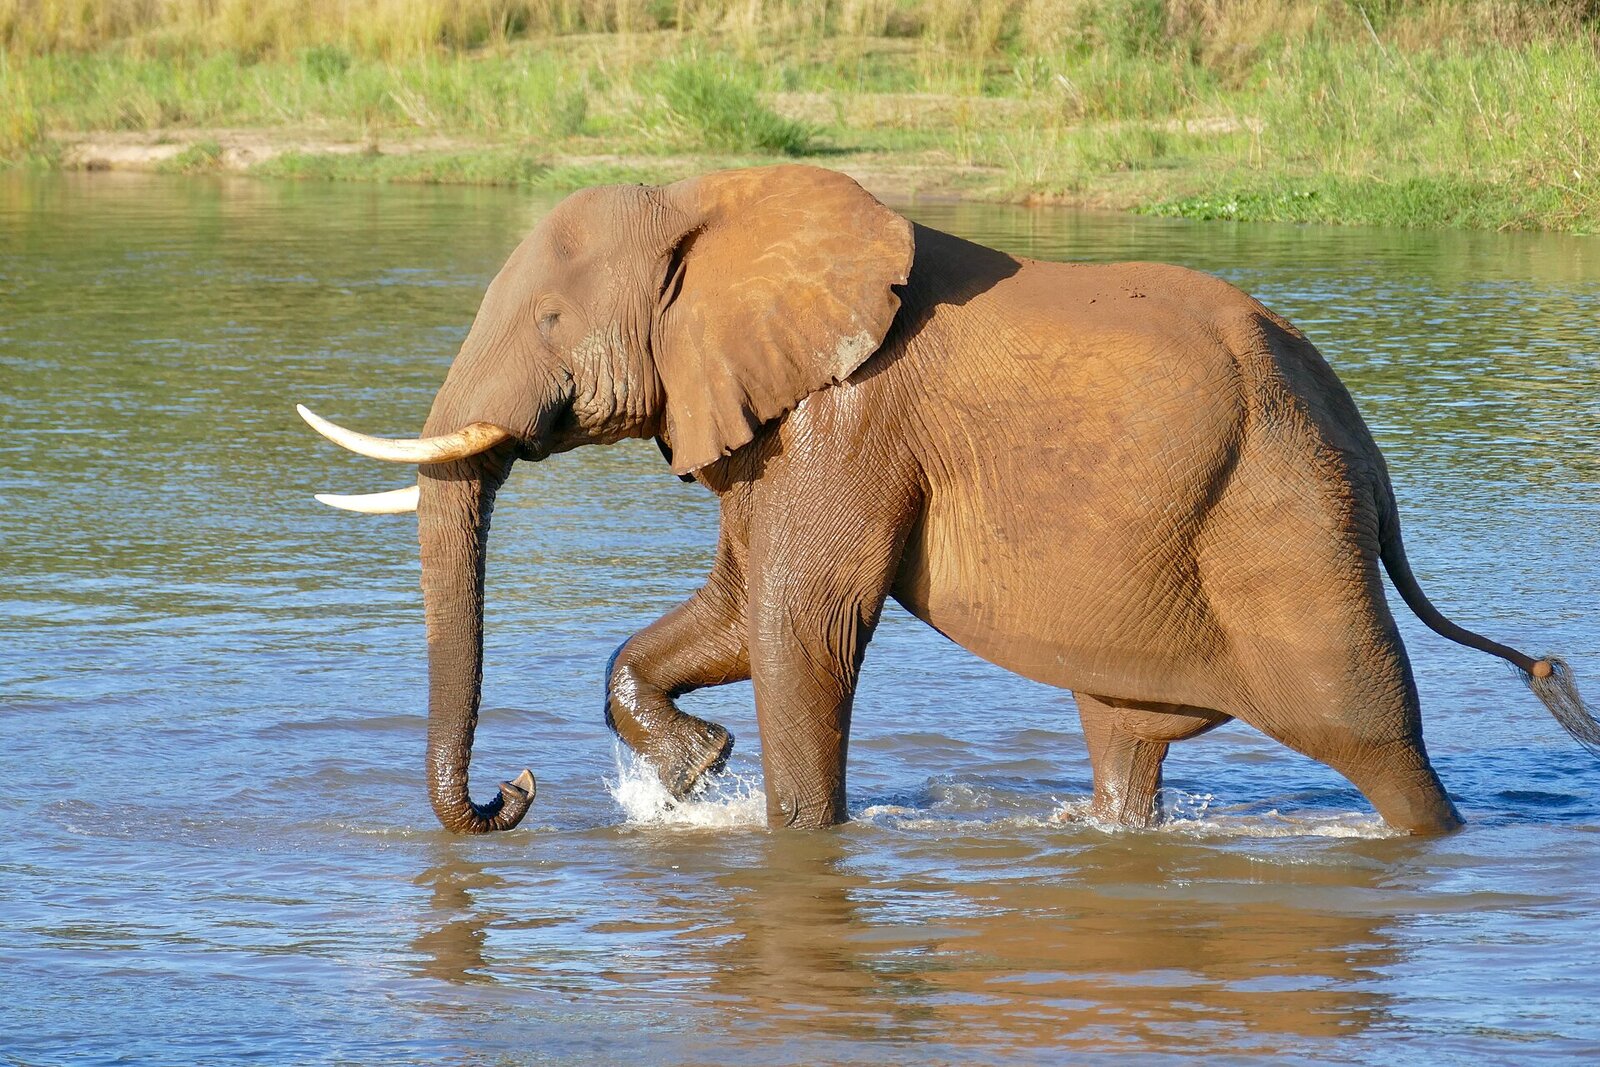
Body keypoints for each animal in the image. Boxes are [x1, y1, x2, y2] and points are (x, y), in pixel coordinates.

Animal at [299, 164, 1598, 835]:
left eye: (551, 320)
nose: (513, 791)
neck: (709, 194)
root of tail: (1364, 445)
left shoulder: (850, 418)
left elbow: (802, 620)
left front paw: (775, 822)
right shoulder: (776, 418)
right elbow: (733, 607)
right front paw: (693, 770)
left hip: (1281, 512)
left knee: (1367, 730)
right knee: (1124, 731)